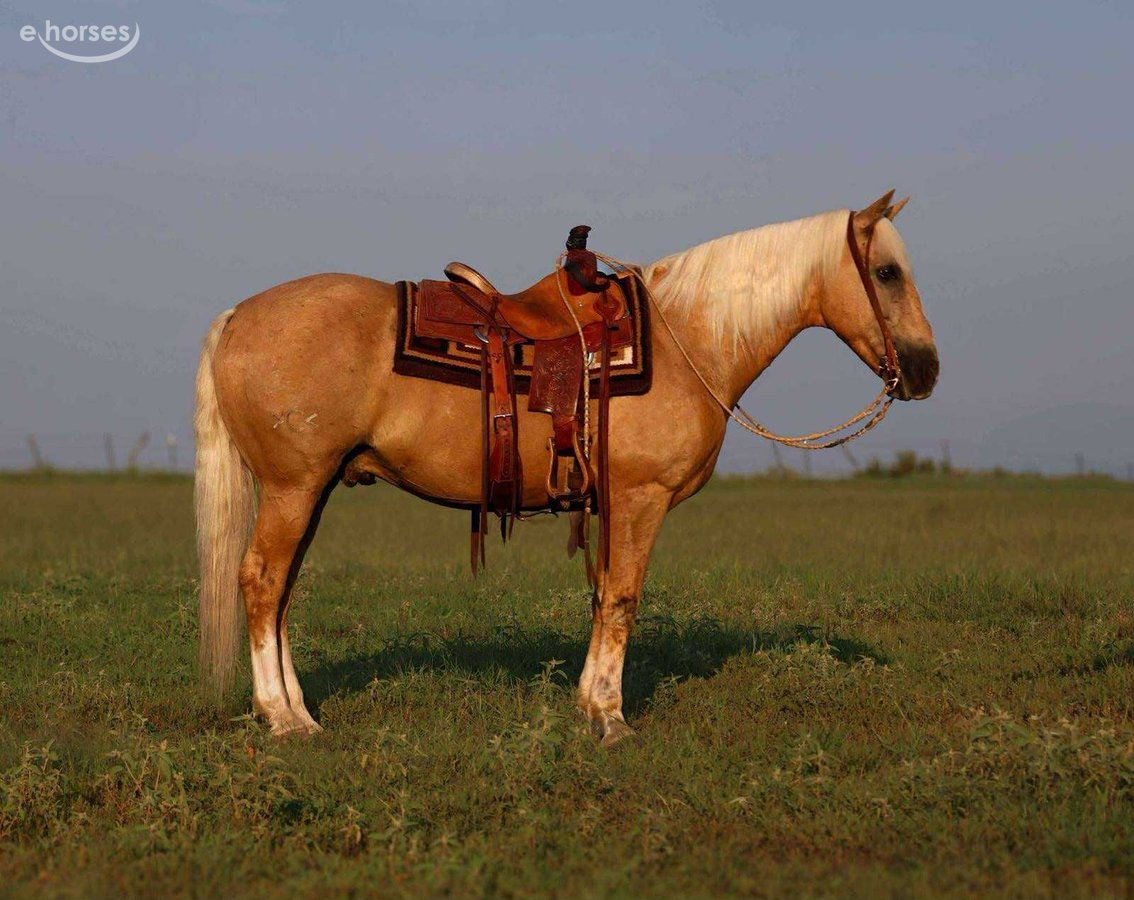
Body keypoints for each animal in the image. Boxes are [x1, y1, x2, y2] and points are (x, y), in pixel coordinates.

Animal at [194, 190, 939, 744]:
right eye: (887, 272)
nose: (926, 370)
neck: (687, 338)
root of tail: (237, 316)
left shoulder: (612, 504)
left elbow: (602, 594)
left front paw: (587, 704)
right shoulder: (641, 498)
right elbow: (623, 598)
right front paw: (611, 718)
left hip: (310, 489)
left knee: (281, 592)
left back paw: (300, 712)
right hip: (293, 488)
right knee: (261, 582)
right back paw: (282, 719)